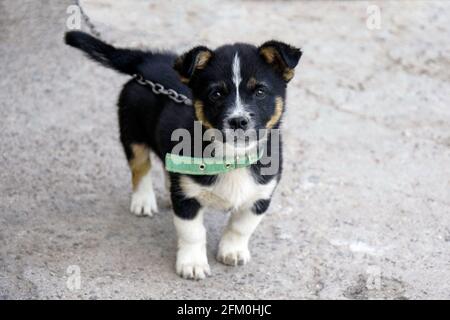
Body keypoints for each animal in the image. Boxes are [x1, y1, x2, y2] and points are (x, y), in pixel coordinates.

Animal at [64, 31, 302, 278]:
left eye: (260, 91)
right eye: (216, 93)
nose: (238, 121)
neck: (231, 157)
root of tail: (148, 61)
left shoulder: (261, 196)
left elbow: (241, 227)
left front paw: (232, 252)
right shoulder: (187, 198)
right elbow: (193, 233)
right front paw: (193, 264)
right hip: (132, 134)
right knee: (140, 167)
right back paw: (143, 200)